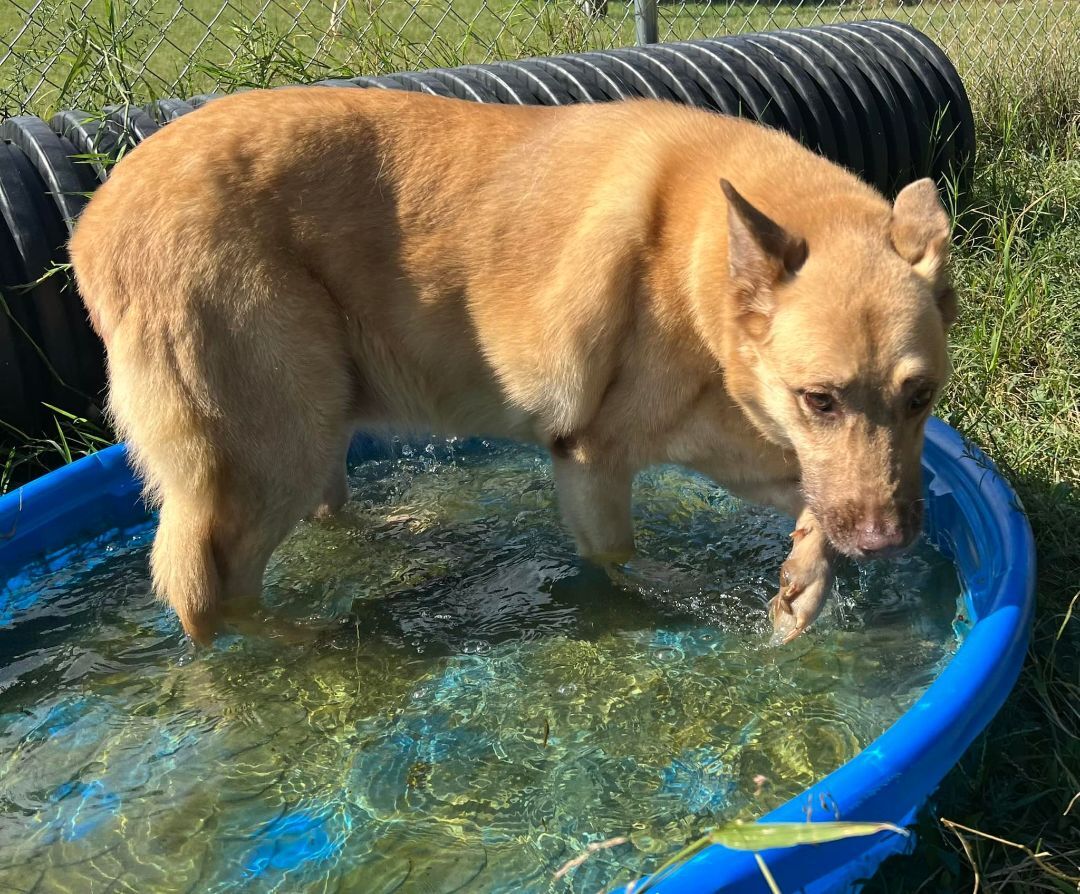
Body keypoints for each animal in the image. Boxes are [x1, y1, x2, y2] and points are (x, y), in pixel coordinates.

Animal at [69, 89, 954, 643]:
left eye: (921, 397)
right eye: (821, 399)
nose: (889, 544)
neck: (699, 259)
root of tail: (94, 220)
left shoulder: (747, 451)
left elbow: (814, 505)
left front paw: (804, 581)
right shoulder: (592, 463)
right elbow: (634, 568)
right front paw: (717, 599)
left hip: (317, 430)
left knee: (317, 522)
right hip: (274, 448)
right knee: (208, 594)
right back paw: (310, 644)